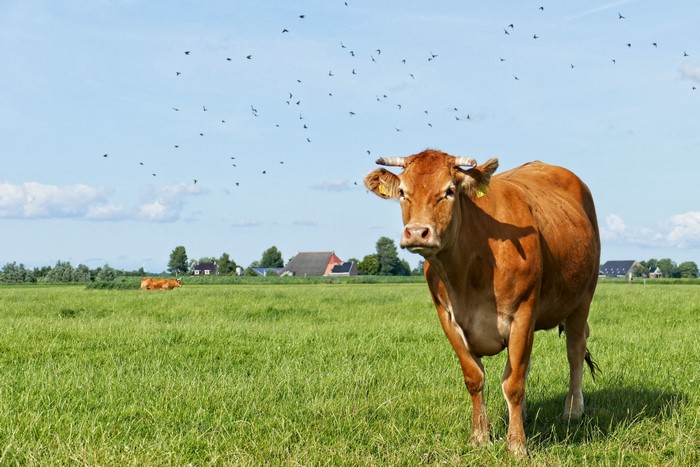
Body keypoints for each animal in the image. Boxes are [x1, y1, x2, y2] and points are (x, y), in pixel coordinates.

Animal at [364, 149, 600, 456]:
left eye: (449, 191)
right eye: (403, 192)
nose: (417, 232)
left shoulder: (523, 312)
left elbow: (513, 384)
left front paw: (517, 445)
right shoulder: (448, 318)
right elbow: (475, 378)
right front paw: (480, 436)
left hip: (582, 298)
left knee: (575, 351)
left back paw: (572, 410)